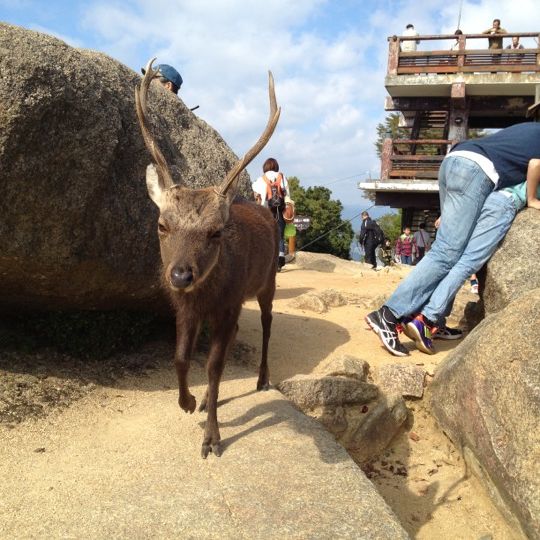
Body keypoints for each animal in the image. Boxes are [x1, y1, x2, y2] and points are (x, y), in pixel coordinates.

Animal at [135, 58, 280, 456]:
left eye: (215, 232)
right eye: (162, 225)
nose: (180, 275)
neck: (207, 295)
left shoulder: (228, 303)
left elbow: (214, 367)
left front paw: (212, 438)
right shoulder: (188, 308)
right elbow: (182, 357)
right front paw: (188, 402)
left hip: (269, 281)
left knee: (267, 323)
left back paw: (262, 378)